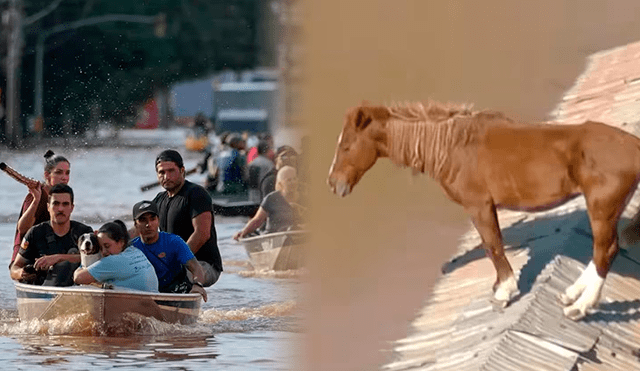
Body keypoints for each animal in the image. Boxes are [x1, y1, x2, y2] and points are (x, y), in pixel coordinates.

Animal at [328, 102, 640, 322]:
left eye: (347, 146)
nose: (333, 183)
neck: (450, 146)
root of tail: (634, 147)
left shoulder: (478, 205)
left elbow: (492, 245)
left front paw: (504, 290)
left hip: (602, 207)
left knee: (606, 250)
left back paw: (580, 307)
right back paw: (571, 293)